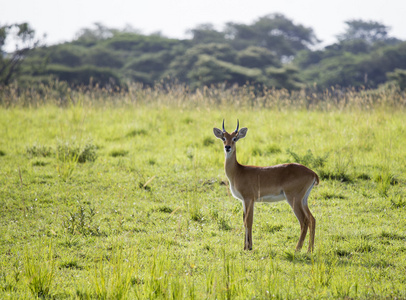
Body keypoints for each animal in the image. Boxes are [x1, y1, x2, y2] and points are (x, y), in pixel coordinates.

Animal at [214, 120, 318, 252]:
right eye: (223, 138)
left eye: (235, 138)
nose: (227, 147)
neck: (238, 171)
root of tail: (312, 173)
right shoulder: (244, 201)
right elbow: (245, 220)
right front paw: (246, 246)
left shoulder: (248, 199)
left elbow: (248, 221)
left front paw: (248, 247)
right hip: (303, 200)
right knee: (312, 219)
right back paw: (310, 250)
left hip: (293, 199)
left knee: (304, 221)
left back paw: (297, 249)